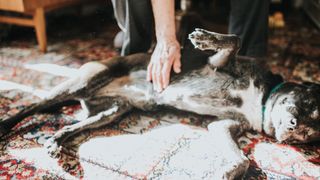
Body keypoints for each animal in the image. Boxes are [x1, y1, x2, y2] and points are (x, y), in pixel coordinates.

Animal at [0, 28, 320, 179]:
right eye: (306, 103)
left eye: (310, 131)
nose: (294, 127)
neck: (261, 99)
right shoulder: (220, 63)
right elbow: (235, 40)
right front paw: (204, 39)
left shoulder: (223, 127)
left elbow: (241, 159)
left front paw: (230, 171)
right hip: (82, 82)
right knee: (32, 107)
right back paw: (6, 124)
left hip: (111, 112)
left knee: (73, 125)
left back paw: (56, 141)